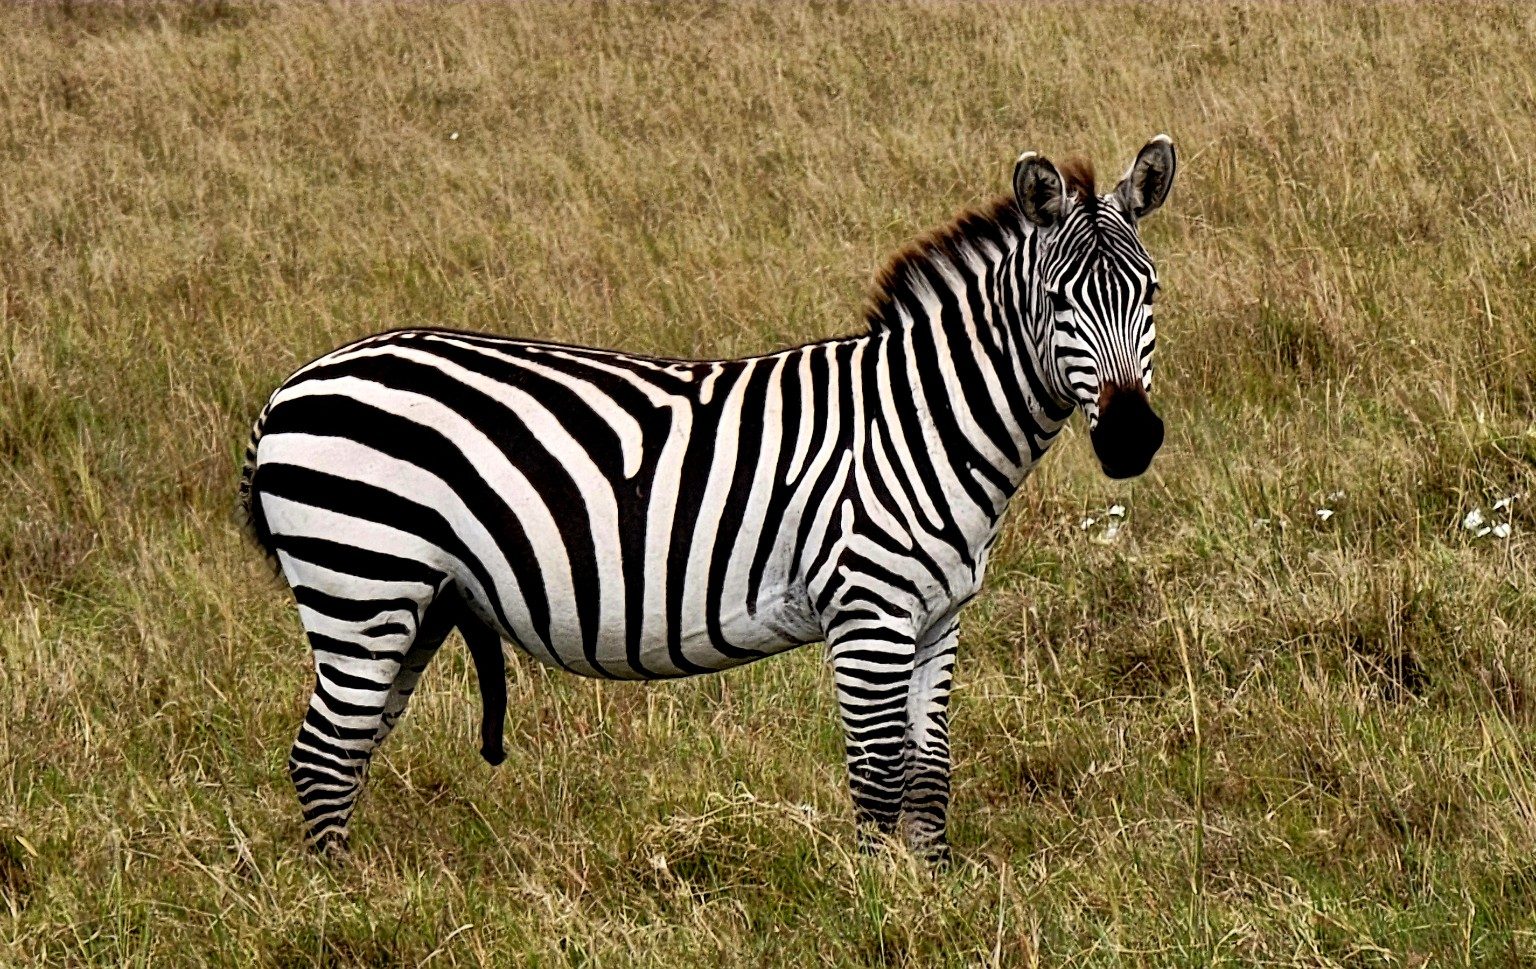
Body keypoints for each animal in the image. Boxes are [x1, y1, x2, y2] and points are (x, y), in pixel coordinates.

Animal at [239, 136, 1177, 857]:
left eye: (1151, 291)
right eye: (1056, 300)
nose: (1132, 439)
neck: (922, 420)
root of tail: (288, 391)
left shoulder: (937, 617)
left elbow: (928, 772)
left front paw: (937, 892)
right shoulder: (867, 612)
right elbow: (877, 774)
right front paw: (880, 901)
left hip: (412, 603)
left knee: (348, 749)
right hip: (361, 582)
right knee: (322, 755)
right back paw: (343, 901)